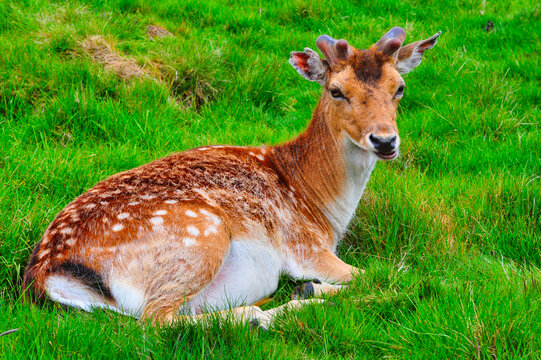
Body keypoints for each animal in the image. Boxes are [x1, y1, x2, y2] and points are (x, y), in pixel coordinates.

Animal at [23, 26, 440, 330]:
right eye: (337, 91)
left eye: (399, 88)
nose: (385, 141)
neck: (320, 206)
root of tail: (47, 274)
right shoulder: (305, 246)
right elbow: (391, 275)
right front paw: (314, 287)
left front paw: (309, 290)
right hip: (201, 236)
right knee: (156, 320)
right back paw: (269, 313)